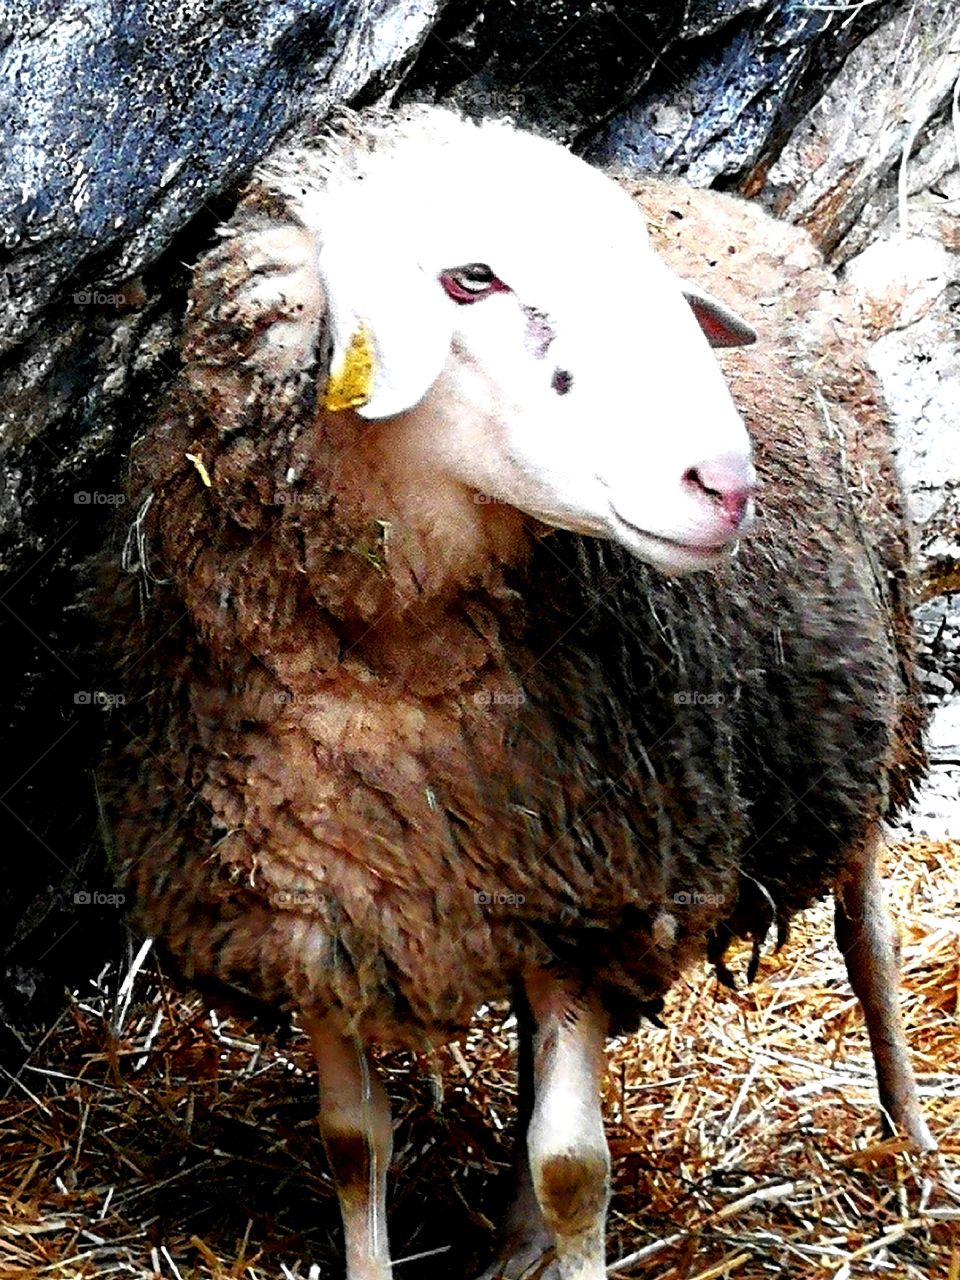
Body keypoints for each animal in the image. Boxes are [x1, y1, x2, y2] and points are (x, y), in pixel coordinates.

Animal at [97, 104, 933, 1280]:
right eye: (472, 277)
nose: (725, 484)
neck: (391, 662)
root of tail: (728, 202)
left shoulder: (591, 894)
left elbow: (573, 1165)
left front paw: (561, 1223)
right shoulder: (314, 918)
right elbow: (352, 1144)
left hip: (867, 700)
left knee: (871, 939)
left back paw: (914, 1151)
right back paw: (512, 1235)